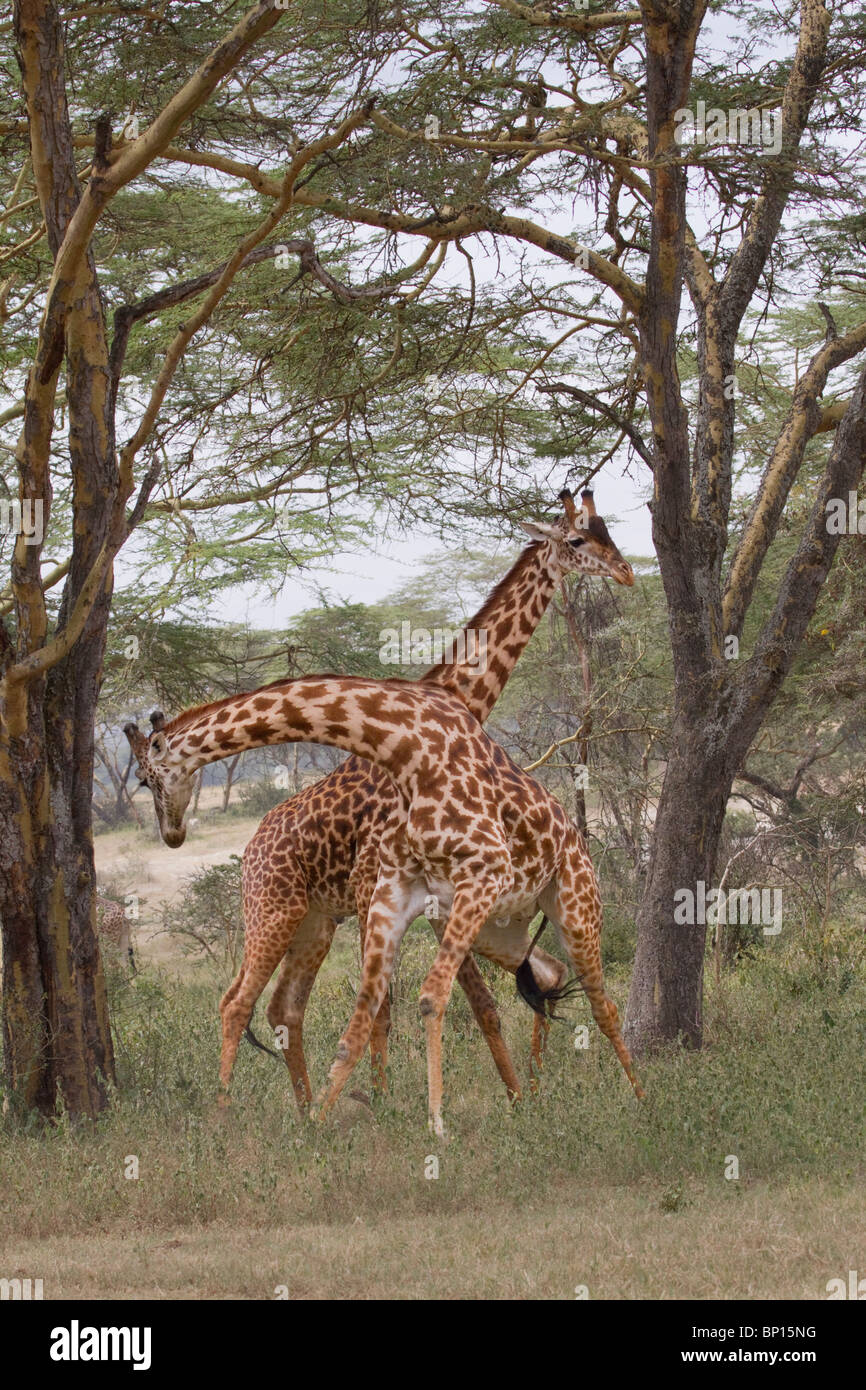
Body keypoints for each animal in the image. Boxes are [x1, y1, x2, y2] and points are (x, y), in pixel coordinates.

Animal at [125, 688, 644, 1139]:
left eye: (145, 777)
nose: (171, 833)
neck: (404, 744)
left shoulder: (466, 881)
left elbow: (429, 999)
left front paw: (428, 1121)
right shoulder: (396, 894)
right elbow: (371, 1013)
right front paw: (327, 1123)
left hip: (569, 905)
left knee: (600, 1002)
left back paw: (637, 1099)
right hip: (482, 928)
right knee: (549, 974)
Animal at [235, 490, 633, 1106]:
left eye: (608, 530)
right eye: (577, 539)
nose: (627, 572)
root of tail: (248, 852)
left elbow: (477, 1002)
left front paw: (515, 1098)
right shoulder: (381, 884)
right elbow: (399, 1006)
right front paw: (386, 1102)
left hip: (315, 922)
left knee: (282, 1009)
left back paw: (303, 1110)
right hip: (271, 913)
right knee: (236, 1005)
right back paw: (231, 1110)